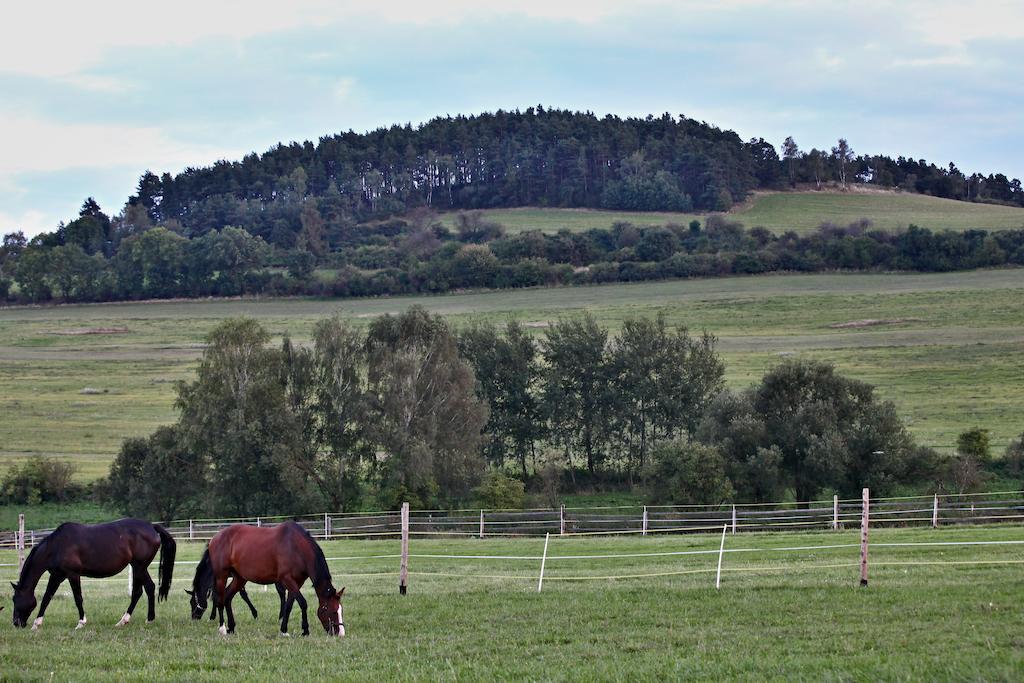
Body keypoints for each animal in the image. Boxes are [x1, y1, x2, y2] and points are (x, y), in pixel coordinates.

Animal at [11, 524, 176, 630]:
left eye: (15, 599)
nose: (16, 623)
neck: (56, 546)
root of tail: (152, 527)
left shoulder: (73, 574)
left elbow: (78, 598)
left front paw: (81, 623)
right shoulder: (57, 576)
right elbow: (46, 598)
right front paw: (36, 624)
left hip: (139, 566)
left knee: (146, 588)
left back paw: (147, 620)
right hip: (138, 567)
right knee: (141, 590)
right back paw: (126, 621)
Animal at [206, 524, 344, 634]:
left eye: (341, 611)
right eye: (333, 612)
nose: (340, 633)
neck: (296, 548)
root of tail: (214, 538)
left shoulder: (297, 582)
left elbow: (289, 605)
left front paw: (284, 630)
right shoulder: (287, 579)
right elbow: (303, 603)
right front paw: (305, 630)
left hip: (240, 578)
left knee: (228, 597)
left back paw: (232, 627)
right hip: (221, 576)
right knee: (219, 599)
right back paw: (222, 628)